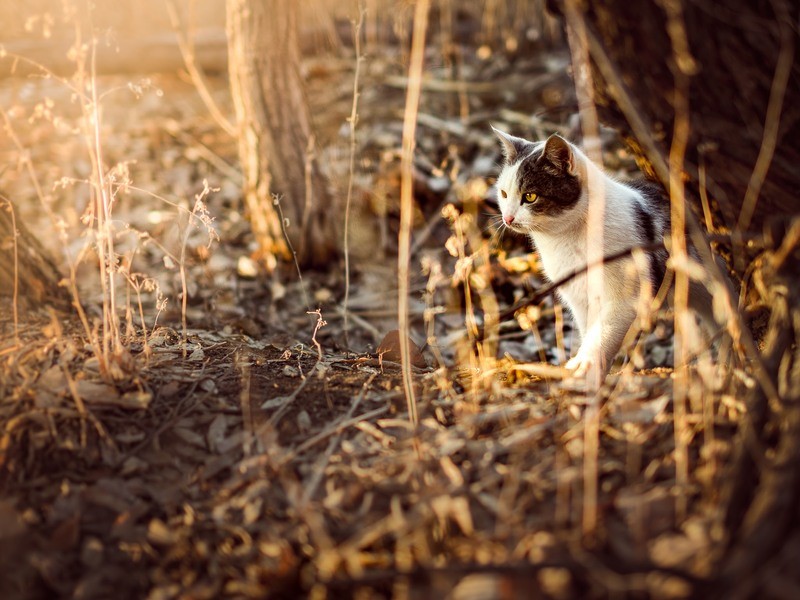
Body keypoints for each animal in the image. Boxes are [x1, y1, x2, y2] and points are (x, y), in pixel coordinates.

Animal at [490, 128, 716, 378]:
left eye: (530, 196)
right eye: (503, 194)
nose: (508, 218)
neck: (564, 240)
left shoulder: (625, 298)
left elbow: (603, 332)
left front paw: (584, 364)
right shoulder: (579, 298)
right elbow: (589, 329)